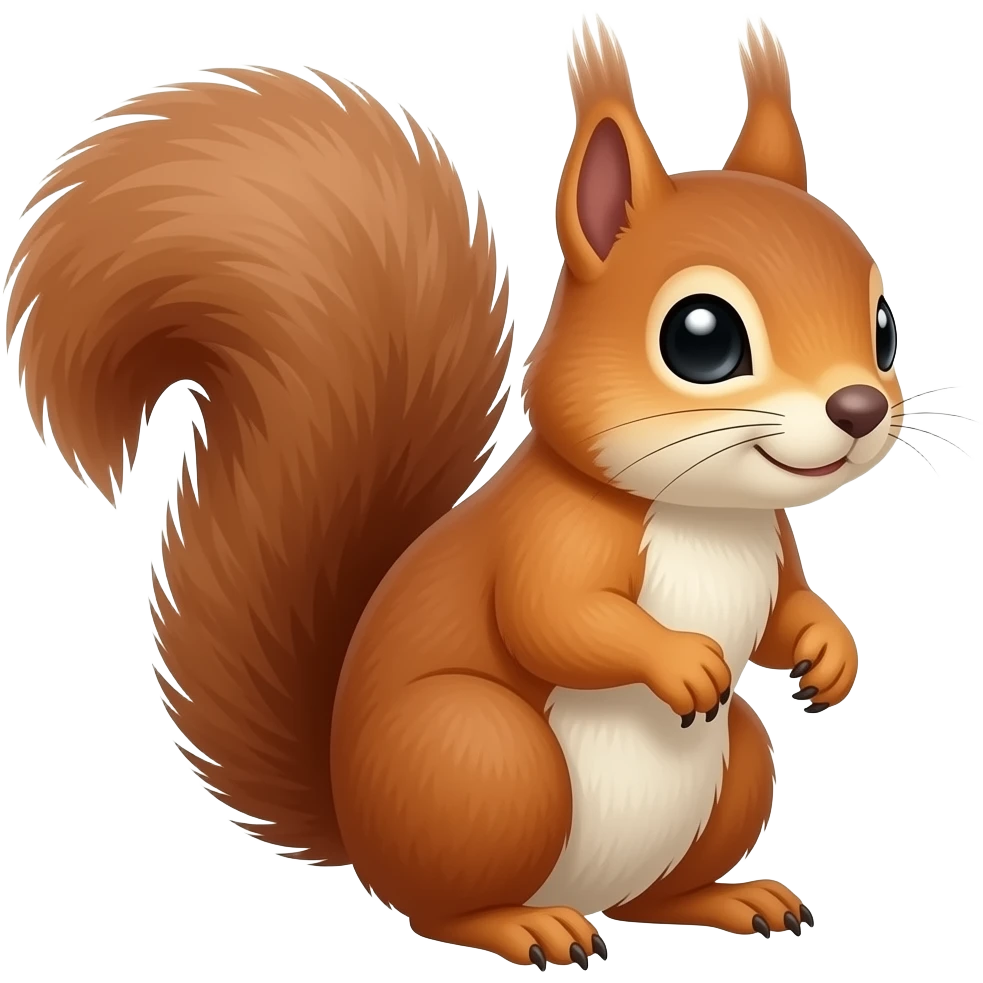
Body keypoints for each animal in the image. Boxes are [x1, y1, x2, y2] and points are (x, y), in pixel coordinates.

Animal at [5, 12, 898, 968]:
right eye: (701, 337)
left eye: (884, 327)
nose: (859, 407)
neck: (704, 514)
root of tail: (359, 834)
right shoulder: (550, 534)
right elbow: (555, 617)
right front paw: (682, 661)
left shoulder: (771, 542)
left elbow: (783, 614)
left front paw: (830, 652)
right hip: (480, 755)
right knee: (441, 907)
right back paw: (526, 926)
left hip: (732, 767)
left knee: (657, 893)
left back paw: (730, 898)